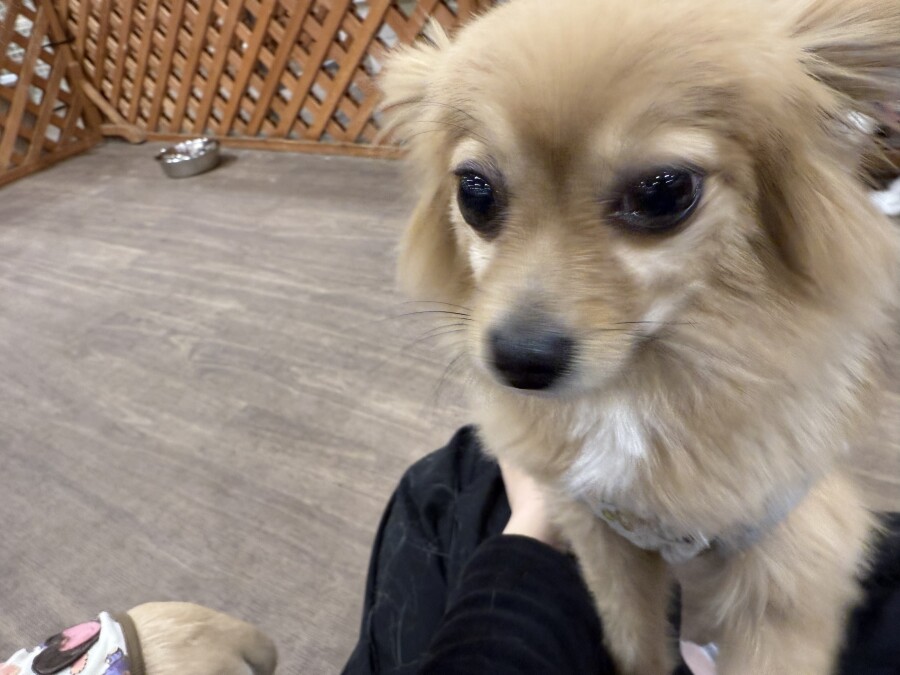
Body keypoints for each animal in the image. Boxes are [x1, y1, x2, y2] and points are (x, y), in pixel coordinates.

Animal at [380, 0, 900, 672]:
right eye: (475, 192)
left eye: (664, 191)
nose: (519, 358)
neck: (637, 392)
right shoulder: (603, 536)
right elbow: (636, 644)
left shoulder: (789, 574)